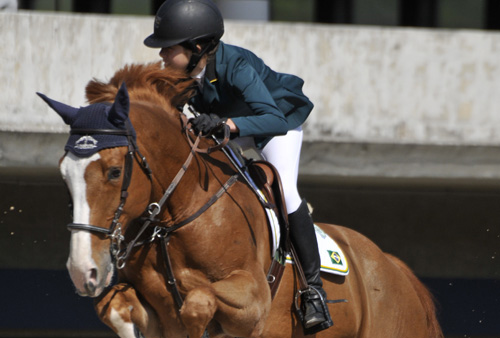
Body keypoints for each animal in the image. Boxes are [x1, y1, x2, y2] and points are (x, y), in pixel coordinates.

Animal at [40, 61, 446, 338]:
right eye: (64, 174)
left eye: (113, 172)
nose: (83, 271)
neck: (176, 216)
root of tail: (393, 267)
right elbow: (115, 307)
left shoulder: (253, 303)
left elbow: (198, 303)